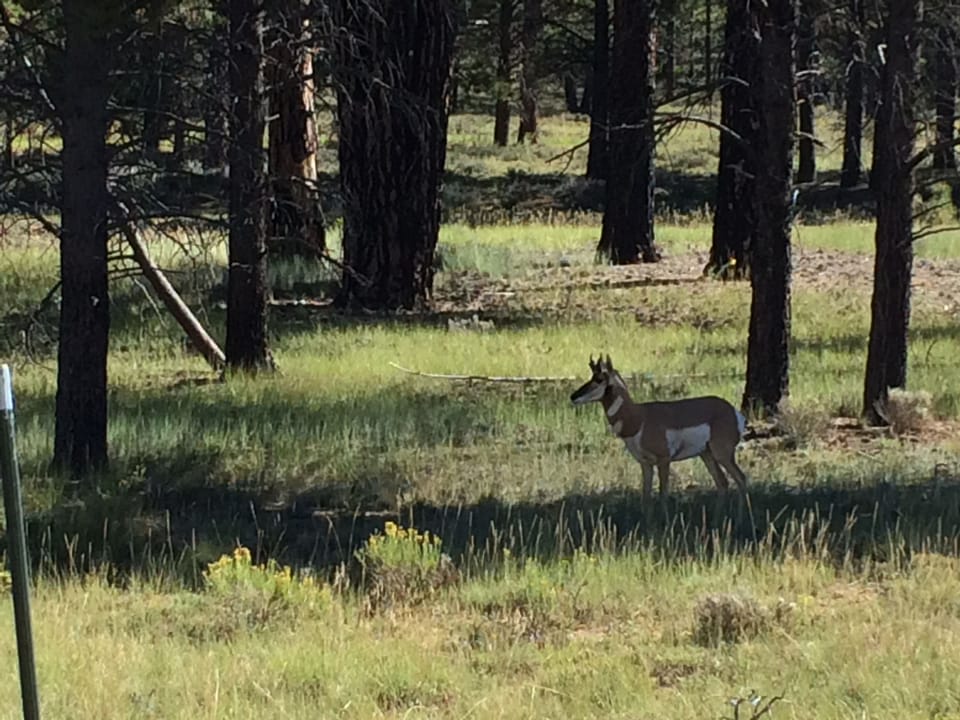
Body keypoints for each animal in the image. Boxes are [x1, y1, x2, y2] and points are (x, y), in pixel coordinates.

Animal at [570, 354, 749, 500]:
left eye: (599, 379)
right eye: (591, 376)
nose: (573, 396)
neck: (638, 418)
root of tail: (734, 412)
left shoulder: (664, 460)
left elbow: (663, 494)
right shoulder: (645, 463)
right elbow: (646, 496)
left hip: (722, 454)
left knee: (741, 479)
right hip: (706, 454)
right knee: (722, 483)